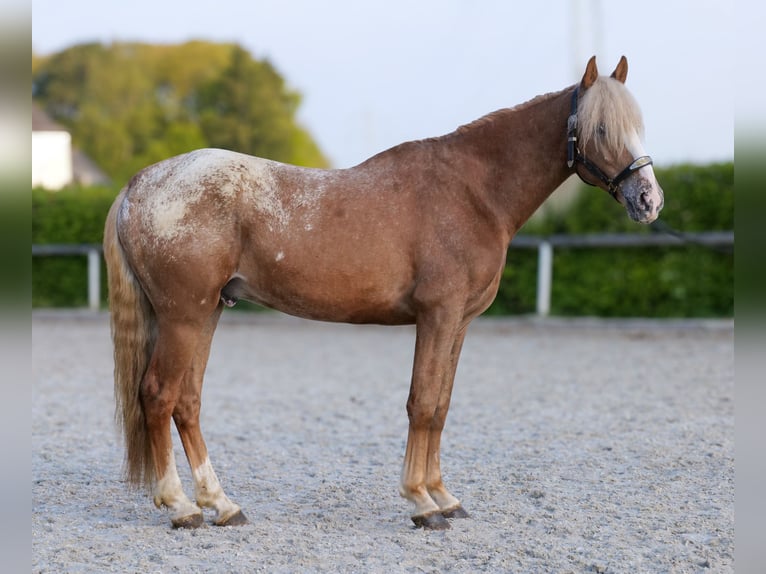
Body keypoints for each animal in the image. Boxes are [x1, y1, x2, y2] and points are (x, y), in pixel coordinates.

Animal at [104, 56, 664, 530]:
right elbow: (422, 403)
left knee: (187, 403)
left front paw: (444, 497)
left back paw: (221, 505)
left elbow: (441, 404)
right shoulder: (438, 315)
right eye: (601, 128)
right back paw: (181, 508)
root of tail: (141, 183)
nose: (649, 200)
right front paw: (422, 503)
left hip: (207, 313)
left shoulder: (459, 323)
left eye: (639, 124)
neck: (473, 192)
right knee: (158, 396)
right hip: (184, 316)